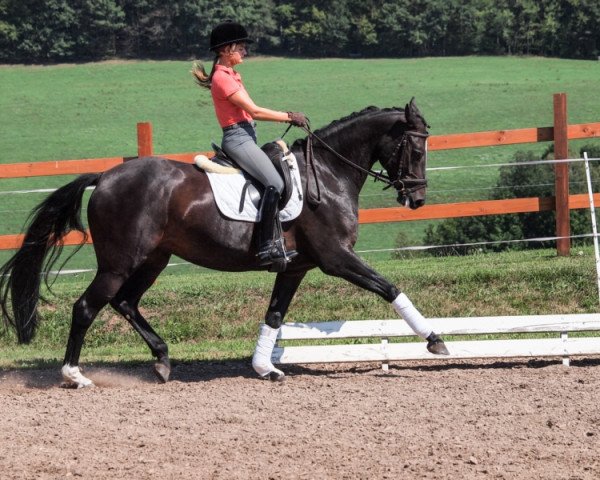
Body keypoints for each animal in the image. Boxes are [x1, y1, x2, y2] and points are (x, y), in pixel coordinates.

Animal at [0, 99, 448, 388]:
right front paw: (435, 340)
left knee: (125, 302)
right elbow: (390, 288)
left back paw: (162, 360)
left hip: (153, 259)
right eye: (416, 146)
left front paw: (265, 368)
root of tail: (106, 176)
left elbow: (274, 315)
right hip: (119, 261)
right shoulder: (337, 258)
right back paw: (74, 375)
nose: (417, 199)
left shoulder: (296, 266)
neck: (327, 171)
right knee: (87, 306)